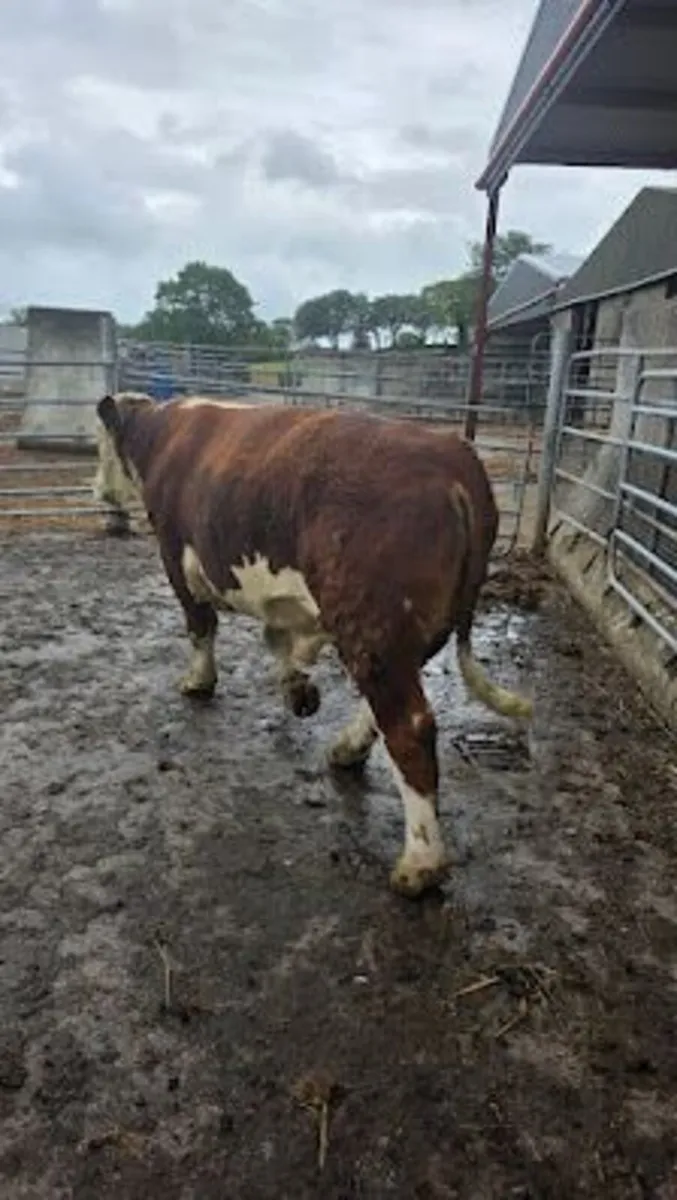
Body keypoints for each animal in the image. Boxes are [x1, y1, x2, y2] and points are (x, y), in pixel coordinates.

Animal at [93, 391, 532, 899]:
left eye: (99, 444)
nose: (98, 493)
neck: (162, 434)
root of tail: (455, 458)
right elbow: (279, 642)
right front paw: (296, 689)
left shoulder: (175, 554)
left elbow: (200, 625)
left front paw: (198, 681)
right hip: (401, 634)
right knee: (385, 707)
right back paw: (346, 749)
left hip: (371, 621)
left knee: (409, 727)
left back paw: (420, 863)